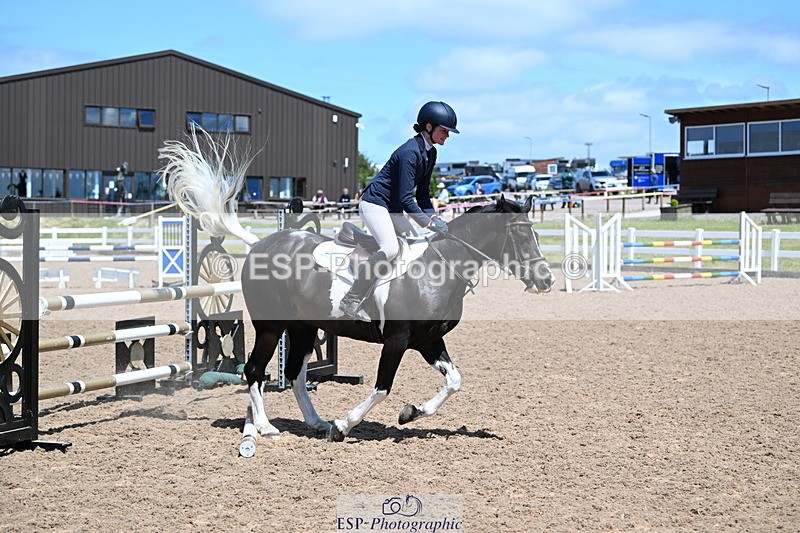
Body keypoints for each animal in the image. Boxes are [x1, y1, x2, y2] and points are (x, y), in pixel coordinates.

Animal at [160, 128, 555, 442]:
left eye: (535, 233)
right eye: (522, 236)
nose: (547, 279)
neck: (439, 269)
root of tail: (260, 244)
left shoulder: (428, 341)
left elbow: (454, 381)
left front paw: (410, 413)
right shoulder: (397, 340)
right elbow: (382, 387)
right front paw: (345, 425)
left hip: (303, 327)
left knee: (295, 375)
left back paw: (315, 422)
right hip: (271, 326)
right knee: (254, 370)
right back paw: (266, 427)